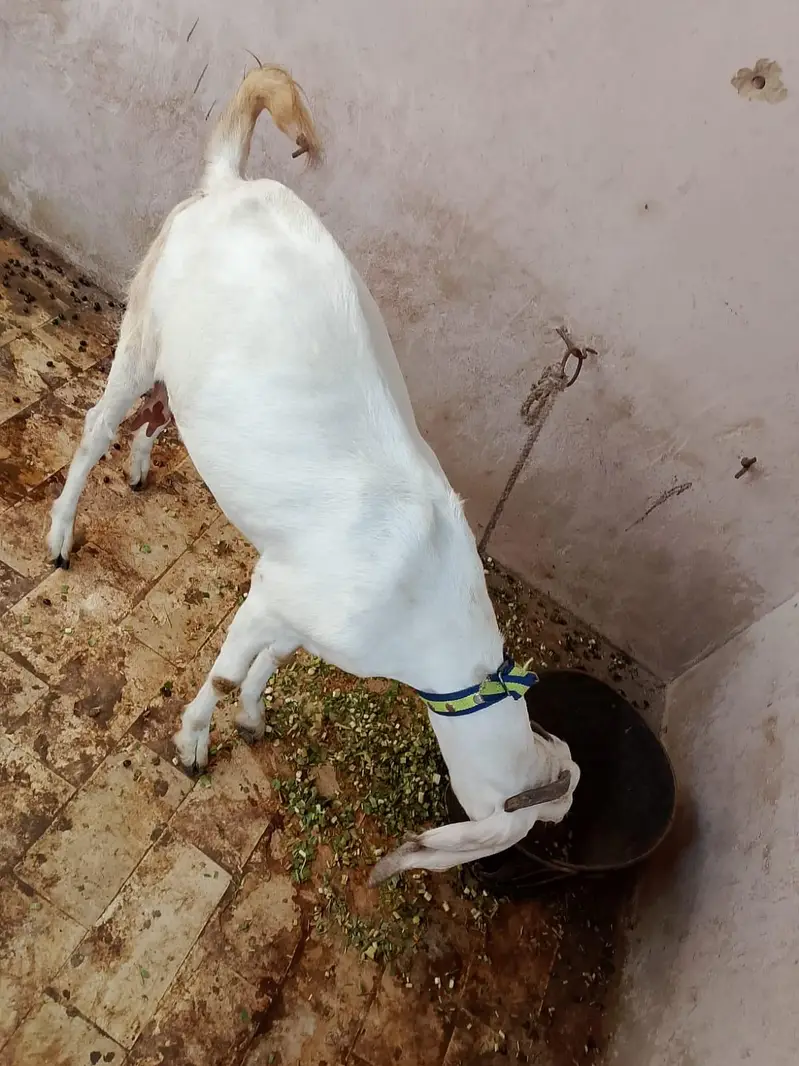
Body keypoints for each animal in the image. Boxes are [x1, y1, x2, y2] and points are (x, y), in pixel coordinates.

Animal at [47, 65, 579, 883]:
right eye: (538, 835)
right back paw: (62, 534)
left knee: (161, 413)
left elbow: (271, 663)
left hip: (191, 373)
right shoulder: (274, 591)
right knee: (93, 429)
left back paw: (138, 468)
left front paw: (253, 716)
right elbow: (231, 664)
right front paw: (195, 740)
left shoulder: (309, 618)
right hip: (144, 324)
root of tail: (229, 185)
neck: (425, 607)